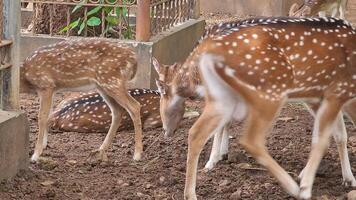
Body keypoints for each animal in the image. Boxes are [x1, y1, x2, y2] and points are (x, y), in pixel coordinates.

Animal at [155, 17, 356, 200]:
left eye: (162, 92)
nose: (166, 131)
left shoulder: (328, 96)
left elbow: (331, 136)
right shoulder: (331, 94)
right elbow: (326, 137)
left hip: (250, 95)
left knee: (199, 132)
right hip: (267, 94)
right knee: (244, 138)